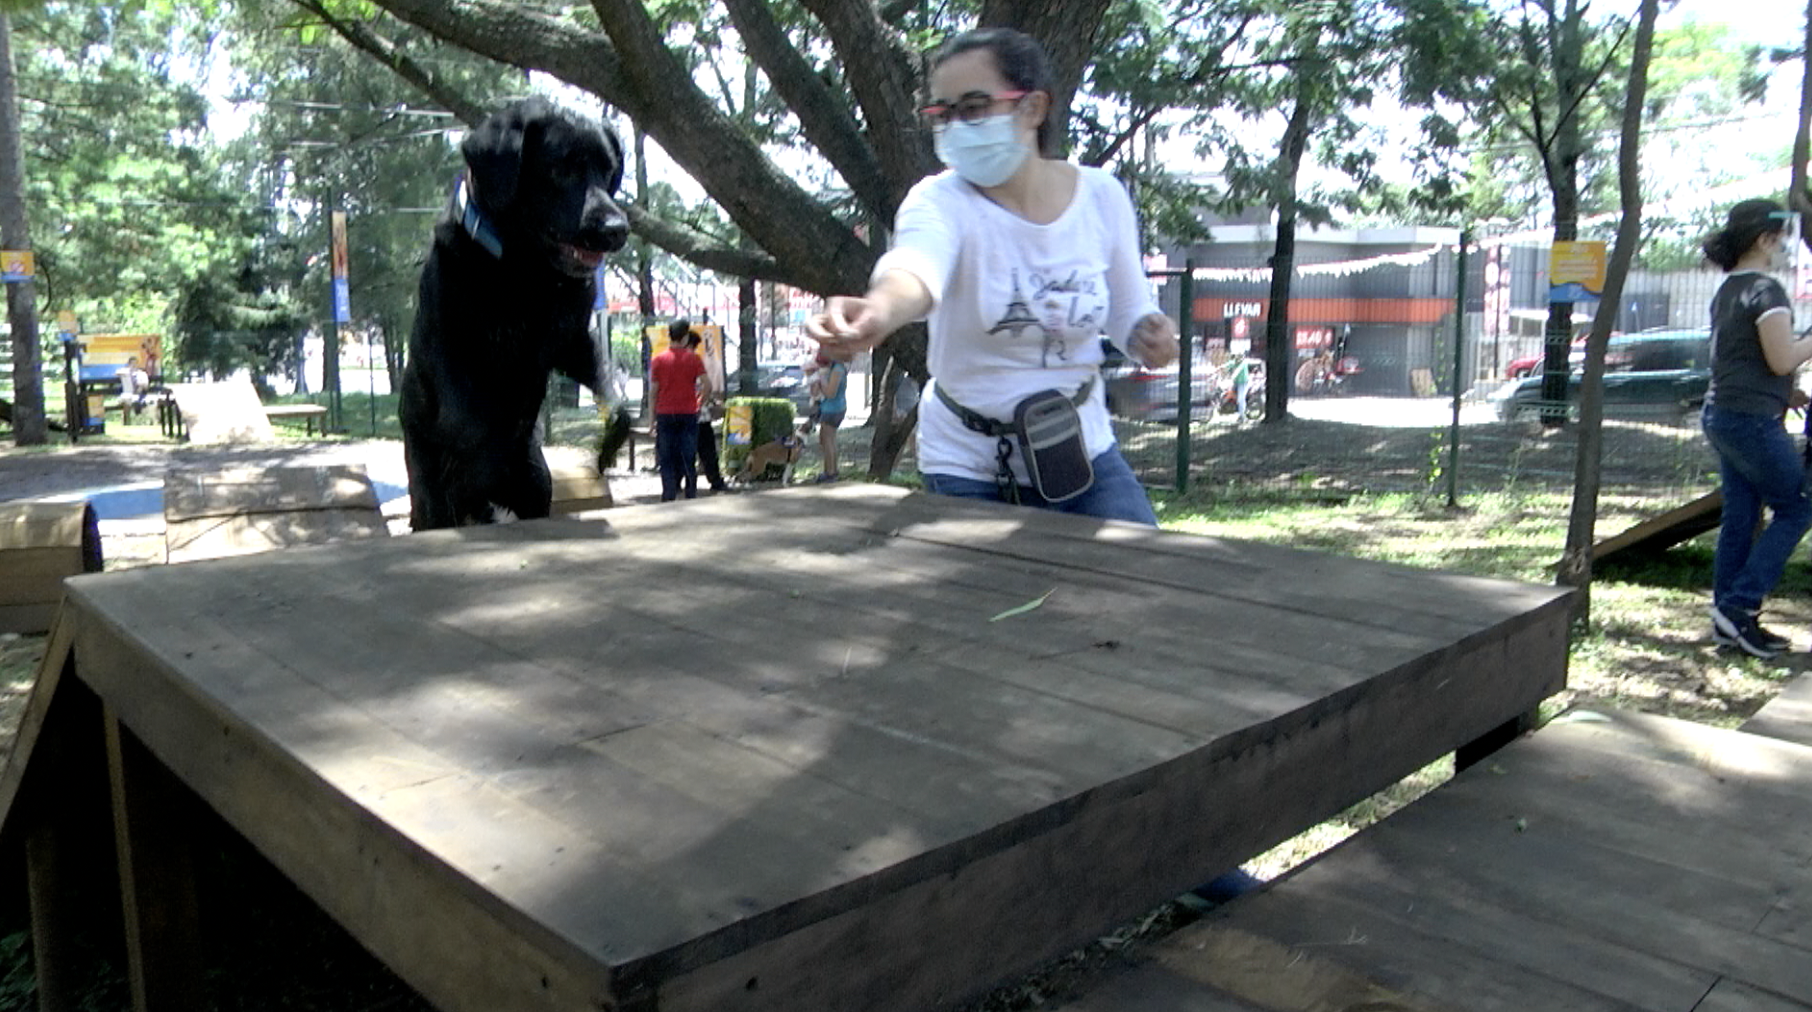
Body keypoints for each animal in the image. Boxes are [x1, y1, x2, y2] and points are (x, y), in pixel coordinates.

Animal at [396, 99, 630, 536]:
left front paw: (607, 448)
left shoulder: (572, 341)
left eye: (608, 171)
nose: (616, 228)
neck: (524, 274)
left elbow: (616, 400)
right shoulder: (450, 348)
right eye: (560, 168)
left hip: (537, 479)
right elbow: (474, 427)